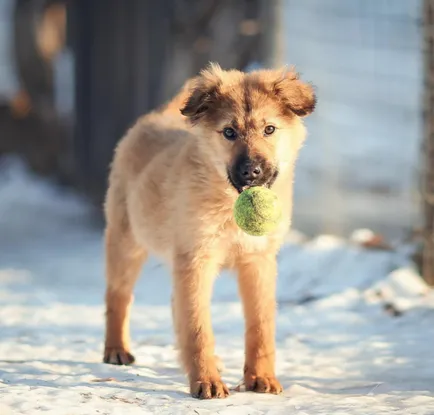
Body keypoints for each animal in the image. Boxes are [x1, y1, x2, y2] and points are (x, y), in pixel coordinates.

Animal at [103, 64, 318, 400]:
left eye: (269, 129)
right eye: (229, 132)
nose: (251, 171)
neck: (228, 204)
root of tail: (157, 117)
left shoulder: (258, 261)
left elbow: (261, 325)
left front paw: (261, 377)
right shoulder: (196, 261)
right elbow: (198, 327)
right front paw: (207, 381)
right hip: (127, 242)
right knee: (118, 296)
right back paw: (116, 349)